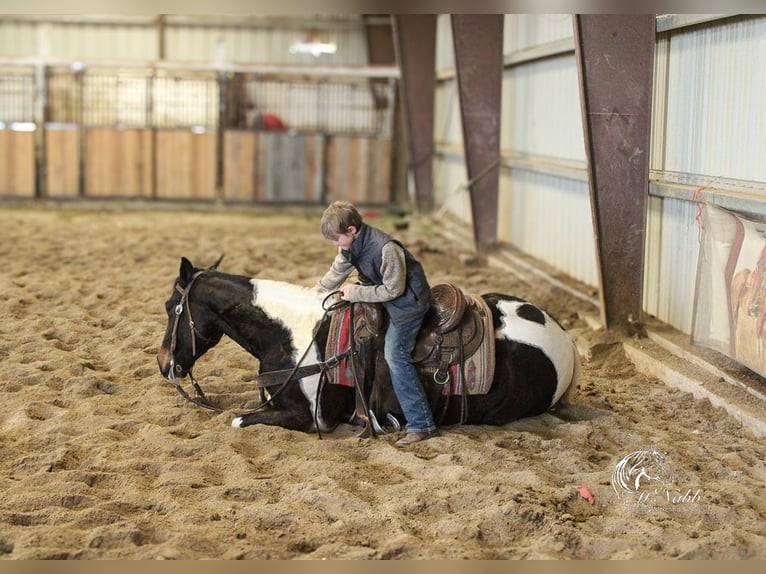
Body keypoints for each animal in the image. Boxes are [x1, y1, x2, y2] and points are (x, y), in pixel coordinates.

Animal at [160, 258, 584, 434]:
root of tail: (564, 337)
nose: (165, 364)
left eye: (169, 307)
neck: (291, 334)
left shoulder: (312, 418)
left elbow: (237, 419)